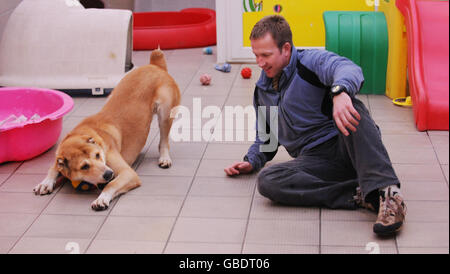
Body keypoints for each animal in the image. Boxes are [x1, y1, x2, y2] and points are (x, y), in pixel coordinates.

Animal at [33, 48, 181, 210]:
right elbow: (54, 167)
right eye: (84, 166)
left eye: (97, 155)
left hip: (165, 112)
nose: (108, 174)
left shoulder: (128, 173)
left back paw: (164, 158)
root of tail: (155, 65)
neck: (85, 132)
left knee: (164, 140)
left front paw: (102, 198)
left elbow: (111, 184)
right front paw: (45, 182)